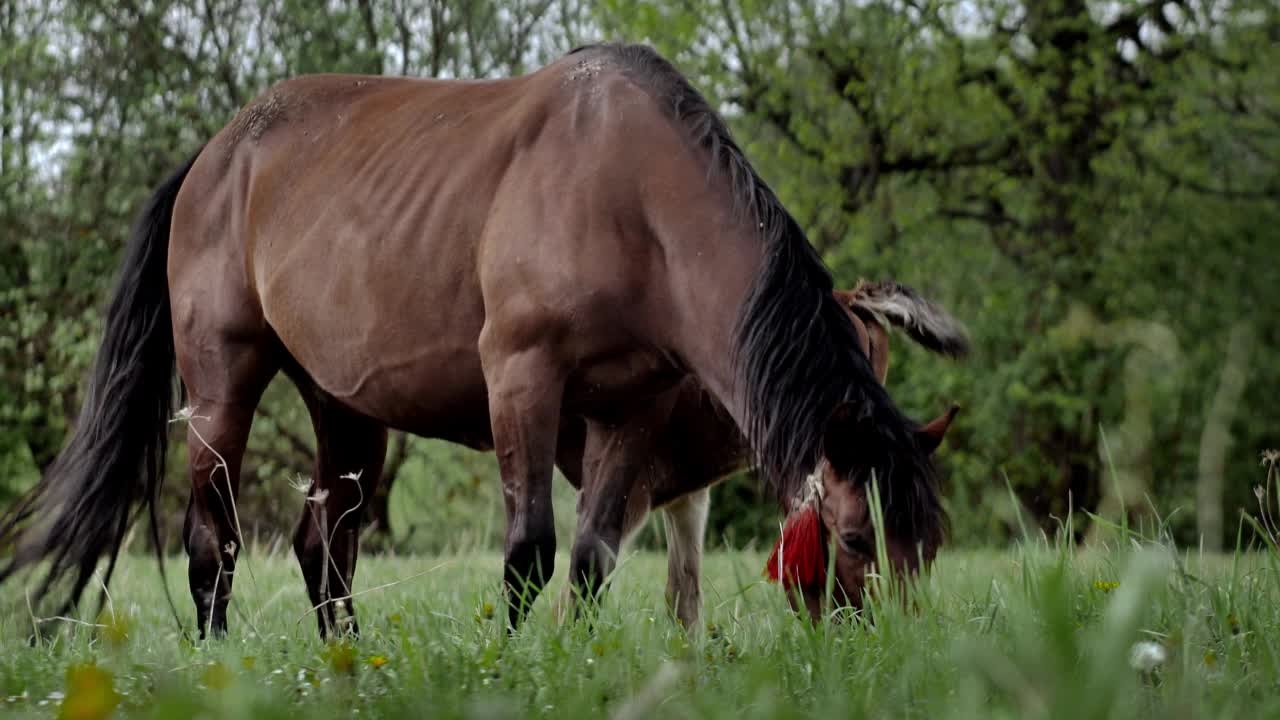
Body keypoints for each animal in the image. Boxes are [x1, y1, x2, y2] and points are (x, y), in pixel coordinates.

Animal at [555, 278, 962, 625]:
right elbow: (682, 597)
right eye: (851, 539)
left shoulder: (638, 480)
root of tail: (851, 298)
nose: (898, 629)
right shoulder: (677, 487)